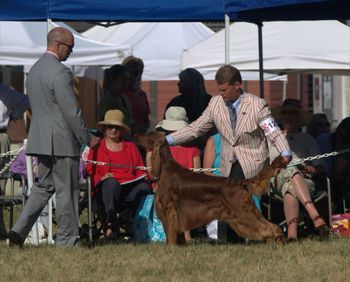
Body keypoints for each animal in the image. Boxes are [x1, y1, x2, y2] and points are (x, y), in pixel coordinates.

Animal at [137, 132, 288, 245]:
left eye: (148, 135)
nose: (136, 135)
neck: (165, 168)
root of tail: (240, 182)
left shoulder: (170, 210)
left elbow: (171, 234)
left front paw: (171, 248)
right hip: (248, 210)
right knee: (272, 226)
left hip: (242, 211)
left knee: (267, 228)